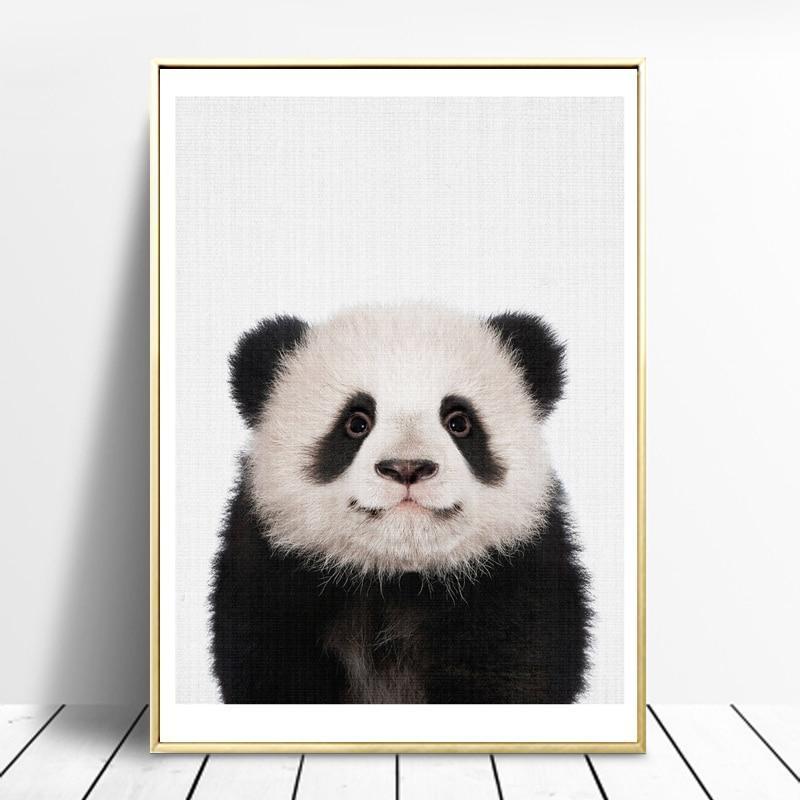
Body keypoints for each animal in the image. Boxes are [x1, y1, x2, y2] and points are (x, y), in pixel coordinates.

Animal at [210, 305, 591, 704]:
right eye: (356, 423)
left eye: (459, 422)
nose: (407, 467)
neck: (397, 578)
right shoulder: (271, 582)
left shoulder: (514, 583)